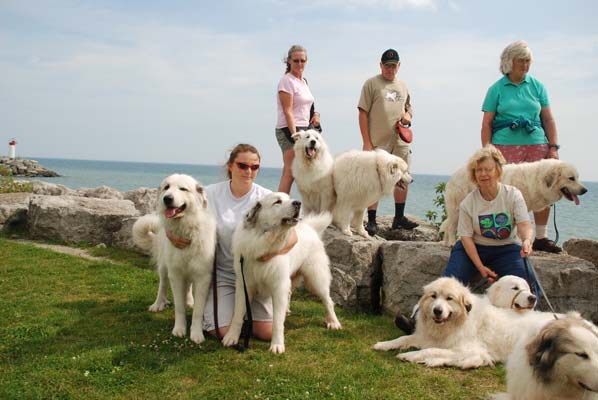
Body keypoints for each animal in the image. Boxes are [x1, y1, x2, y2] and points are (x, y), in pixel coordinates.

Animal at [132, 173, 217, 346]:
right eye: (166, 187)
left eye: (183, 189)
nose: (167, 198)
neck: (186, 229)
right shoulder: (176, 274)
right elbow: (178, 307)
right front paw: (179, 329)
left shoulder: (203, 276)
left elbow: (198, 310)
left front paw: (196, 333)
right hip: (165, 268)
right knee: (163, 285)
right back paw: (158, 304)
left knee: (189, 286)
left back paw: (189, 301)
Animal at [221, 193, 344, 354]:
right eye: (277, 202)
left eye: (289, 198)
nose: (298, 203)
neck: (263, 240)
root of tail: (310, 227)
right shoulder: (244, 285)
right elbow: (237, 314)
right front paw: (231, 337)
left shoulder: (278, 286)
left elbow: (277, 322)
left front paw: (277, 345)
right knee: (291, 292)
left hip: (315, 279)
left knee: (328, 301)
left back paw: (333, 322)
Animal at [376, 278, 552, 368]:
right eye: (434, 296)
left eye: (449, 298)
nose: (437, 311)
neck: (455, 323)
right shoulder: (427, 337)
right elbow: (403, 339)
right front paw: (383, 344)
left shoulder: (467, 349)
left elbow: (430, 350)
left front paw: (410, 355)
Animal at [442, 158, 588, 245]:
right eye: (571, 178)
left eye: (577, 177)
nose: (585, 190)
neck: (537, 180)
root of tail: (454, 174)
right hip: (457, 209)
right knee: (451, 227)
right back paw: (451, 243)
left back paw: (446, 242)